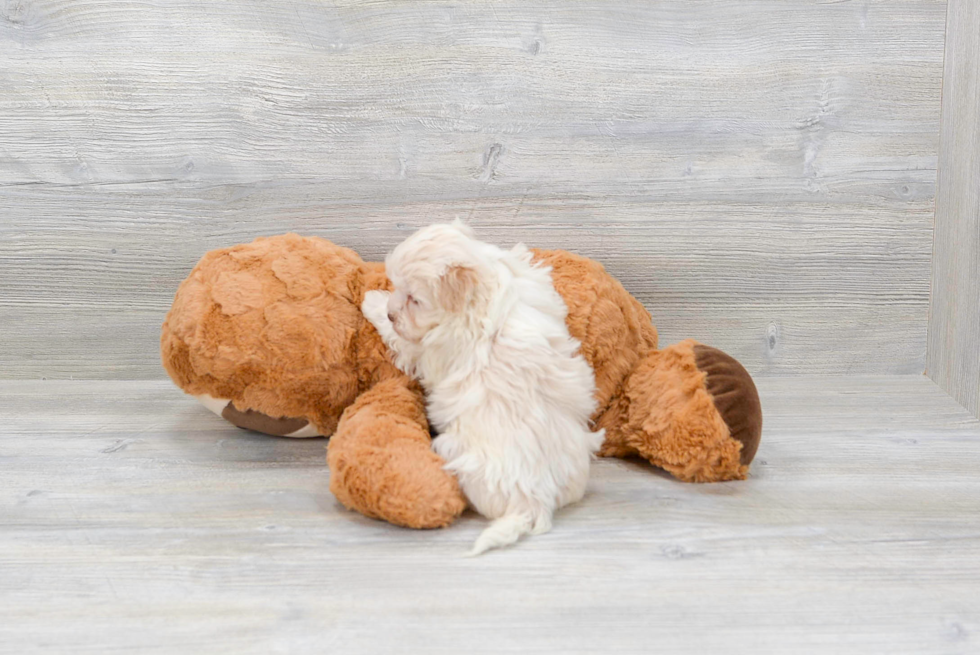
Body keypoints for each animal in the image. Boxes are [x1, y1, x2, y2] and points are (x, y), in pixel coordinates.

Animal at [362, 223, 604, 556]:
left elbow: (403, 341)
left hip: (454, 450)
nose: (391, 313)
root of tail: (536, 501)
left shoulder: (427, 349)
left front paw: (372, 302)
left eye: (414, 299)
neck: (481, 294)